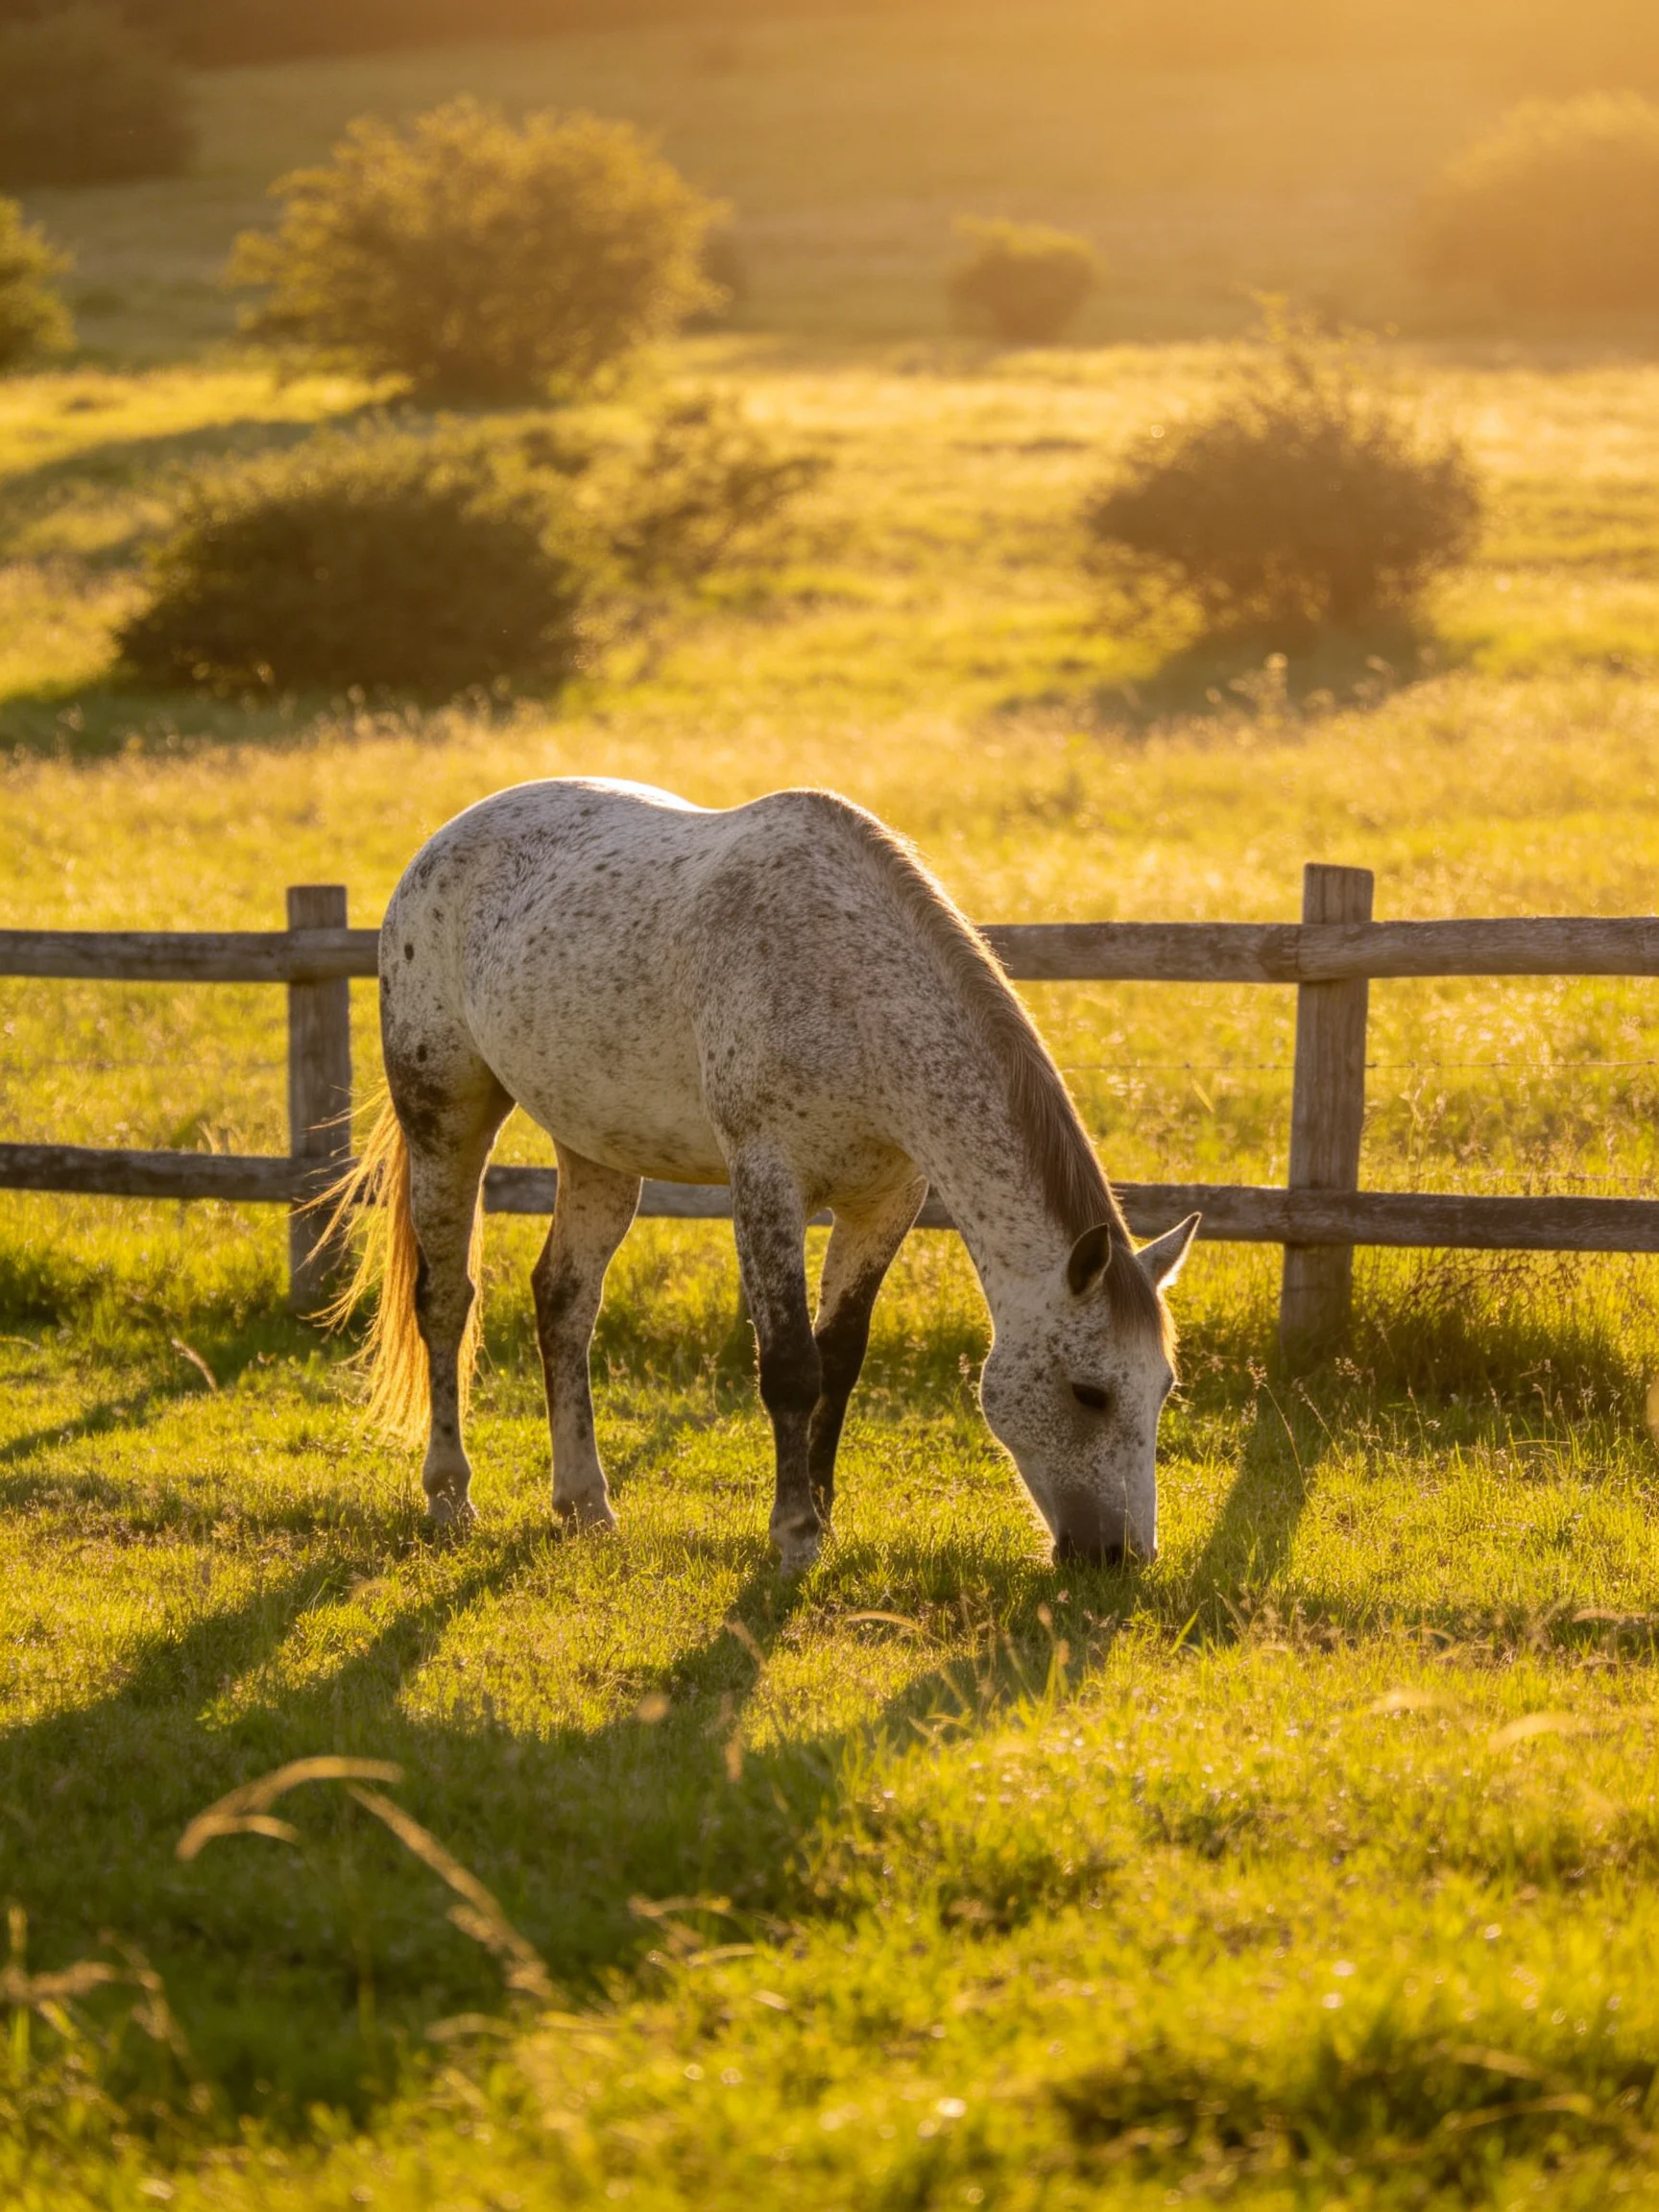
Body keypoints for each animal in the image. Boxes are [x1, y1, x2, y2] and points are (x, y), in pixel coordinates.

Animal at [331, 777, 1199, 1571]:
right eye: (1089, 1392)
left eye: (1161, 1389)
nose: (1123, 1556)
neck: (852, 987)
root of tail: (443, 843)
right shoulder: (765, 1182)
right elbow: (789, 1366)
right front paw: (794, 1535)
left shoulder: (886, 1201)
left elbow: (839, 1361)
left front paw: (825, 1513)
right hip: (446, 1113)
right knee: (445, 1299)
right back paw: (450, 1493)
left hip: (596, 1149)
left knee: (564, 1302)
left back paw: (585, 1504)